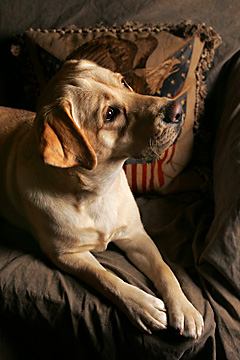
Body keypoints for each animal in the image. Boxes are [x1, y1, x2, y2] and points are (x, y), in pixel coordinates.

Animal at [0, 60, 204, 338]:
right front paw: (143, 305)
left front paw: (184, 307)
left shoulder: (136, 235)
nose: (177, 109)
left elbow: (165, 269)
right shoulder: (67, 255)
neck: (96, 194)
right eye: (110, 114)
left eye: (124, 82)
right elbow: (106, 277)